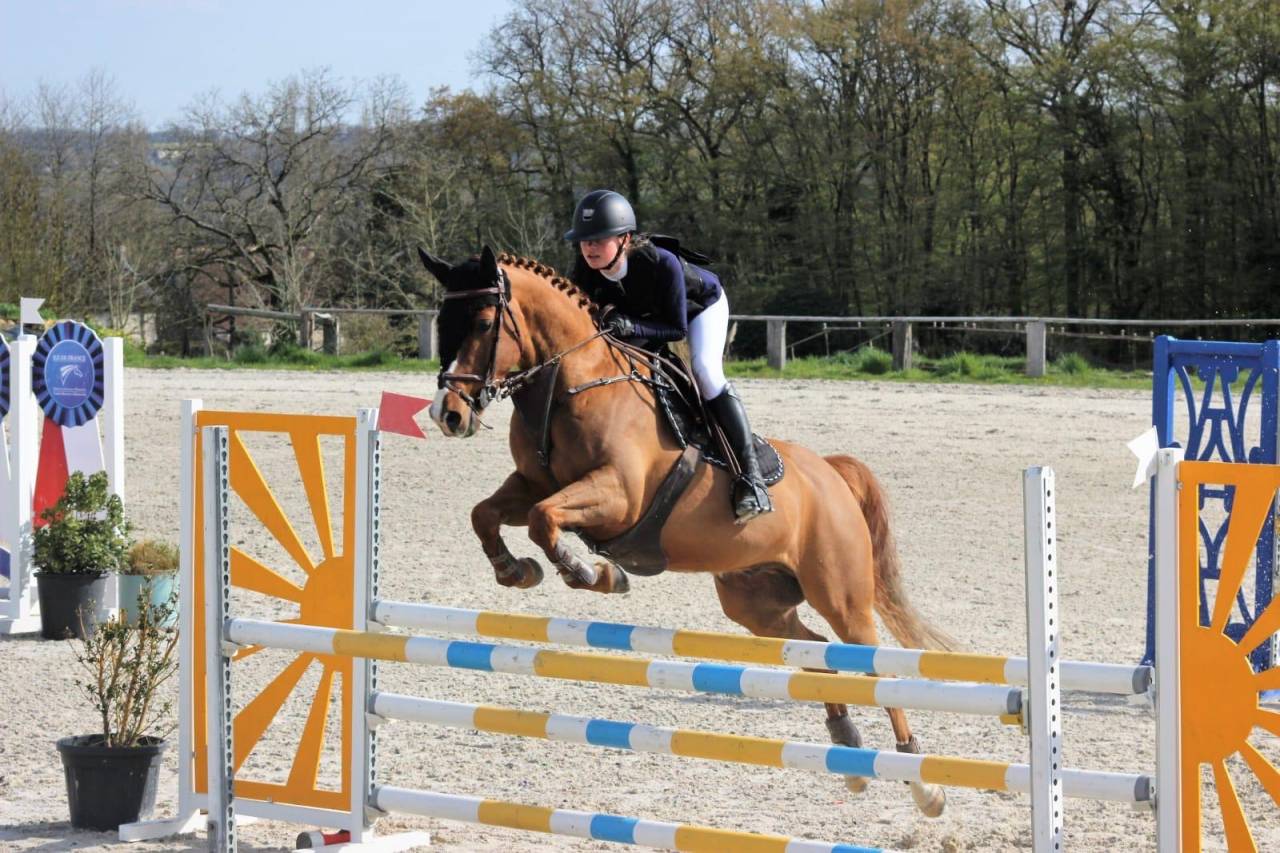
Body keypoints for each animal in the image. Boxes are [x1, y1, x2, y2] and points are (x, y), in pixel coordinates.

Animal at [419, 245, 954, 817]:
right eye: (442, 320)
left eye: (482, 323)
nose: (448, 414)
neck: (571, 381)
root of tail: (830, 474)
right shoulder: (531, 484)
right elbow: (486, 514)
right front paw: (516, 570)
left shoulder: (618, 495)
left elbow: (545, 521)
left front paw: (592, 572)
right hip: (756, 603)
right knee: (815, 654)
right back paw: (847, 748)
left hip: (840, 593)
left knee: (875, 668)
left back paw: (922, 781)